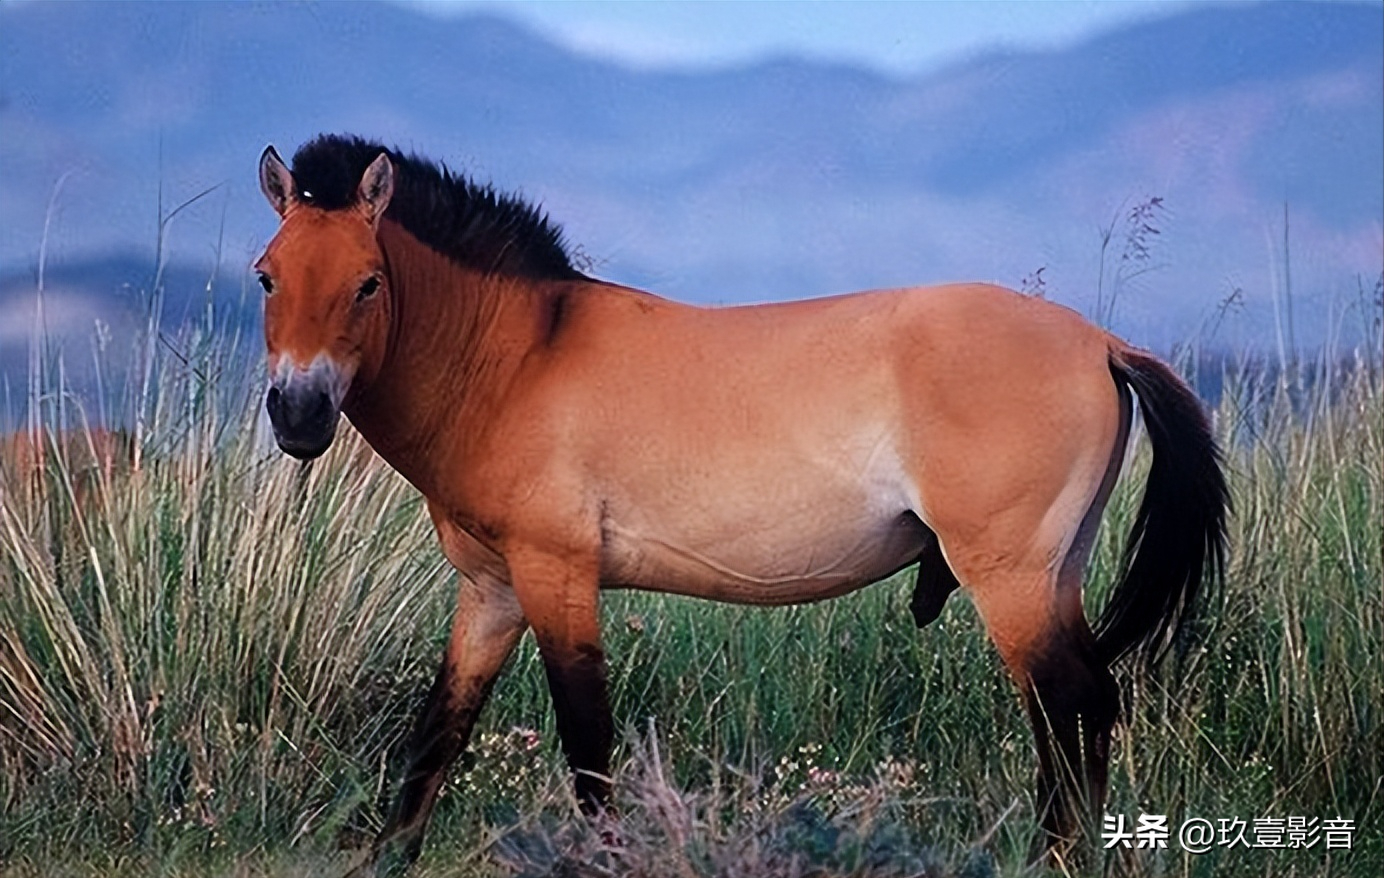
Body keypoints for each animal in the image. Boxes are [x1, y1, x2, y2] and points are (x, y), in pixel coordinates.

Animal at [254, 133, 1228, 869]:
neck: (521, 360)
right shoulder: (492, 592)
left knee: (1067, 704)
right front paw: (386, 853)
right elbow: (439, 732)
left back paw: (1056, 855)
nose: (299, 414)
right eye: (268, 276)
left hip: (1012, 578)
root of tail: (1099, 342)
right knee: (1089, 706)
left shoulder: (556, 575)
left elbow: (587, 743)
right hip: (1054, 573)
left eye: (368, 282)